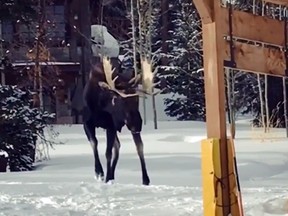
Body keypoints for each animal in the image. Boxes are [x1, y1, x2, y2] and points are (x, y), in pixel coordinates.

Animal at [83, 56, 155, 186]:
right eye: (119, 99)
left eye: (136, 99)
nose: (138, 124)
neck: (100, 105)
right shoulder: (87, 123)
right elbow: (94, 143)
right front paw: (99, 172)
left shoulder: (111, 125)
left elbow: (108, 152)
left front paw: (106, 177)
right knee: (119, 145)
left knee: (138, 147)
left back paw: (145, 179)